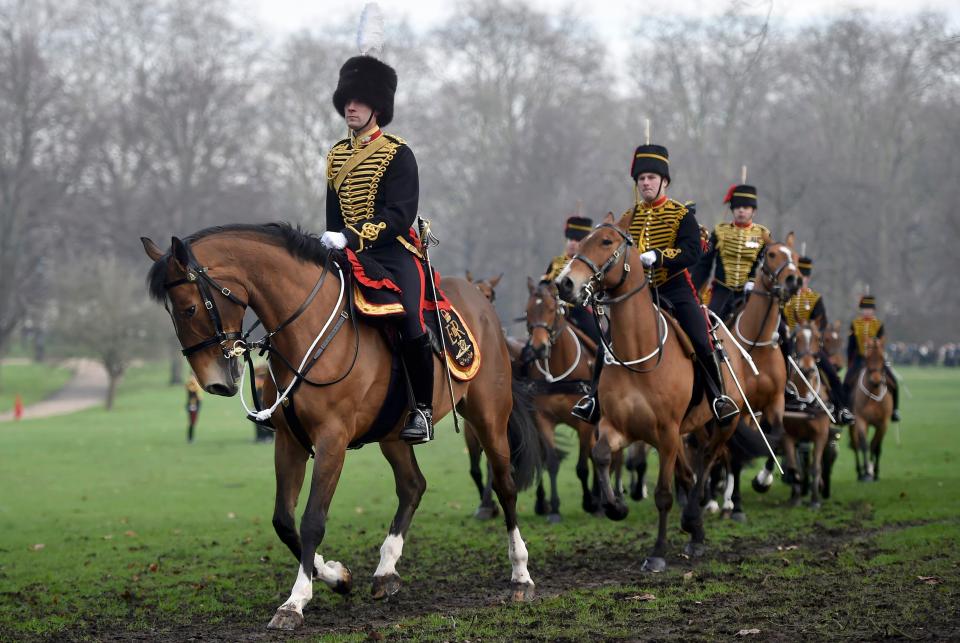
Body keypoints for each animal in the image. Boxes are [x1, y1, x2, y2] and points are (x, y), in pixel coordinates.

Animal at [146, 224, 544, 632]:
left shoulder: (331, 441)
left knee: (504, 486)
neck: (307, 328)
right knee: (413, 486)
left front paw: (295, 602)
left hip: (489, 416)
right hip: (393, 433)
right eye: (172, 312)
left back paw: (521, 576)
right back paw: (386, 571)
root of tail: (480, 301)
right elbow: (283, 521)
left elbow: (311, 520)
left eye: (190, 307)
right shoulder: (289, 441)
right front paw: (335, 575)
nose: (214, 382)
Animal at [556, 214, 756, 572]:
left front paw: (658, 552)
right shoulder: (617, 427)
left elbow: (664, 494)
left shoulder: (665, 434)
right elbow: (602, 456)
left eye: (606, 241)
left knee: (707, 461)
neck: (639, 351)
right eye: (584, 240)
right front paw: (615, 507)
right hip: (685, 432)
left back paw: (693, 517)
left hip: (723, 423)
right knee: (690, 473)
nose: (564, 284)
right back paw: (695, 532)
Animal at [852, 340, 896, 480]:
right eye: (868, 357)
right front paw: (867, 471)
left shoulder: (883, 424)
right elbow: (865, 445)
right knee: (856, 445)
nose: (876, 380)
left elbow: (876, 446)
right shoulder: (861, 421)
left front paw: (874, 471)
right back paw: (860, 472)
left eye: (882, 358)